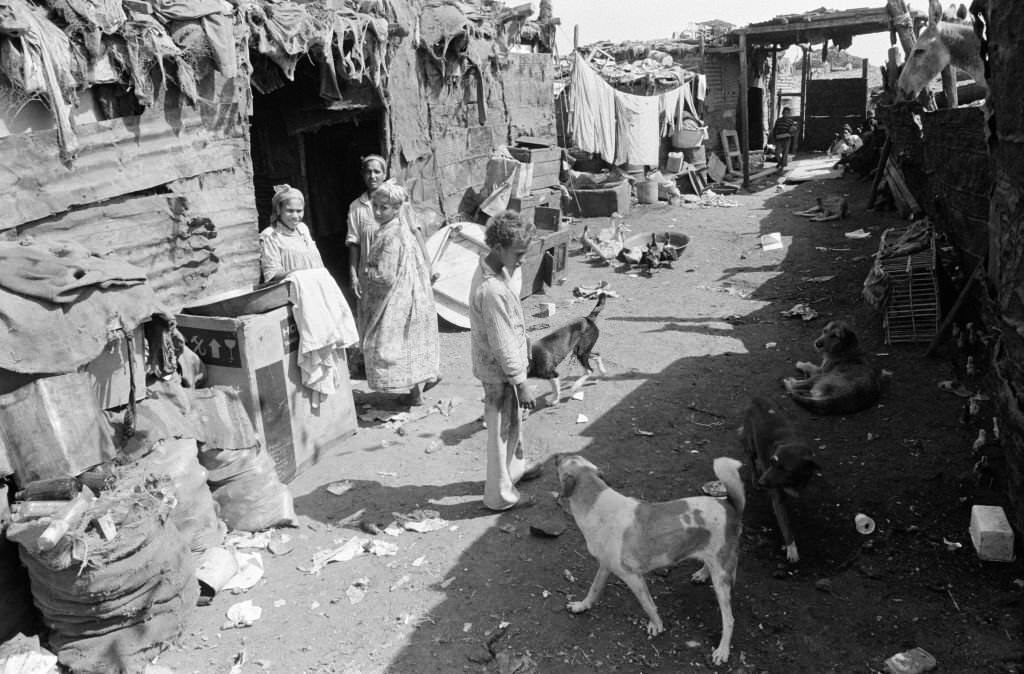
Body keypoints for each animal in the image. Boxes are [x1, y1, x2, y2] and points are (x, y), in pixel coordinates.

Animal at [561, 448, 745, 663]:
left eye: (560, 463)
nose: (556, 456)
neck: (596, 502)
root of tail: (730, 505)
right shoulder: (605, 566)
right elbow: (594, 589)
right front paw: (581, 606)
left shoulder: (633, 577)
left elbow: (648, 604)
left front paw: (657, 625)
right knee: (709, 565)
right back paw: (702, 573)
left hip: (722, 581)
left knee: (729, 619)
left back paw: (722, 651)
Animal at [741, 393, 819, 561]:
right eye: (772, 462)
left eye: (784, 469)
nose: (762, 482)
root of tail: (757, 398)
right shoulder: (777, 499)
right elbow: (786, 526)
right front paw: (792, 549)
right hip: (750, 443)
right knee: (751, 459)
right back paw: (754, 477)